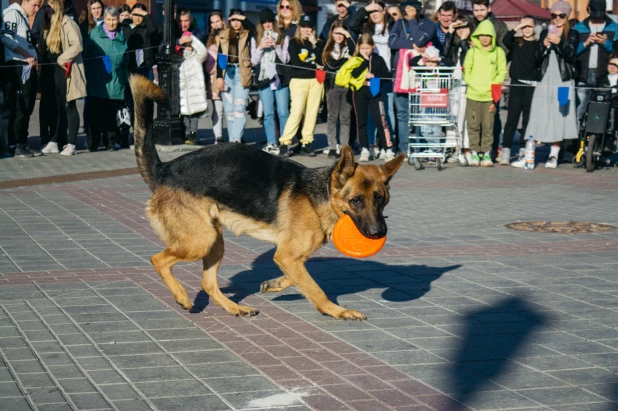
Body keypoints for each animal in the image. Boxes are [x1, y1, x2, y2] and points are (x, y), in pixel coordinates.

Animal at [130, 77, 404, 322]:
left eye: (380, 200)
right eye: (356, 201)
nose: (379, 233)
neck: (321, 196)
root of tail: (164, 169)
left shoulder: (289, 256)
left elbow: (298, 278)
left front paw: (275, 284)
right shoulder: (287, 255)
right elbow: (316, 290)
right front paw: (337, 311)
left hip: (214, 242)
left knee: (208, 283)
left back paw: (235, 308)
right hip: (200, 240)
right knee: (158, 260)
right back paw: (182, 296)